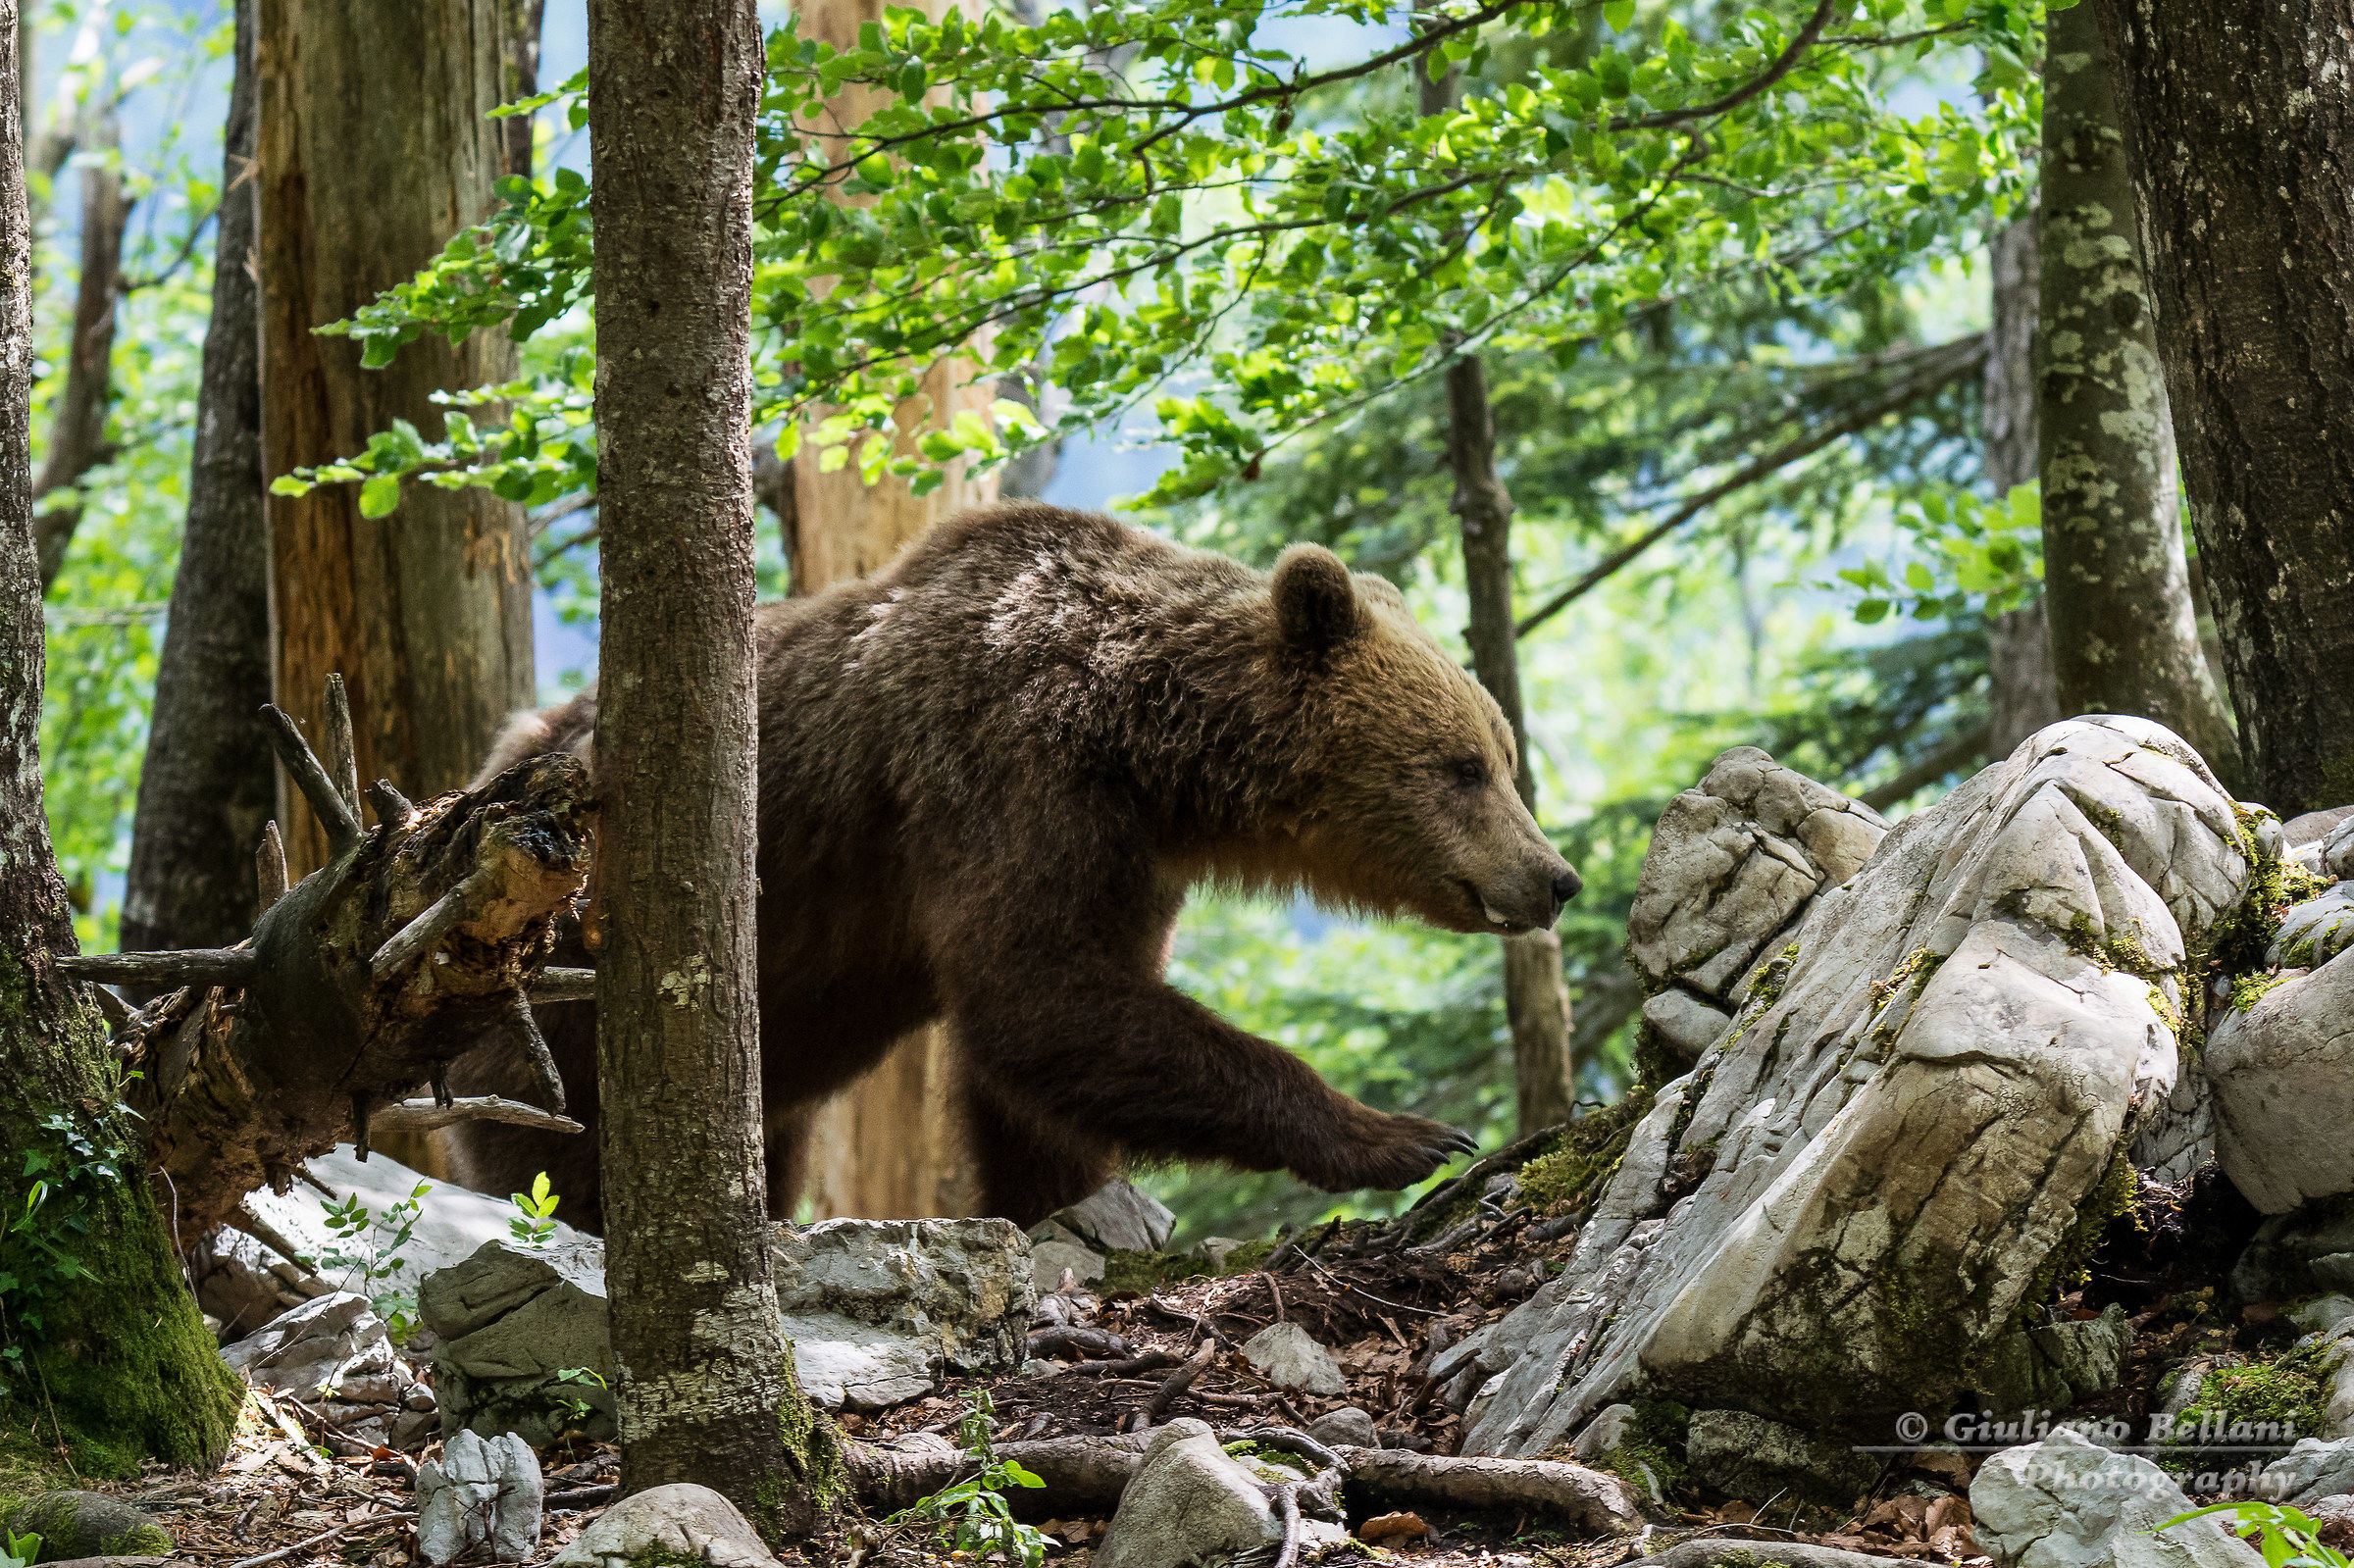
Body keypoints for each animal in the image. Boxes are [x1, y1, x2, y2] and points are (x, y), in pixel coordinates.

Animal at [434, 502, 1581, 1230]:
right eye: (1464, 766)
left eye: (1502, 756)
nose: (1554, 876)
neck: (1143, 748)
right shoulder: (1002, 773)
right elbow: (1037, 994)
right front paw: (1406, 1136)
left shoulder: (1126, 854)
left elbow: (1052, 1048)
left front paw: (1054, 1201)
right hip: (545, 1001)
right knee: (553, 1156)